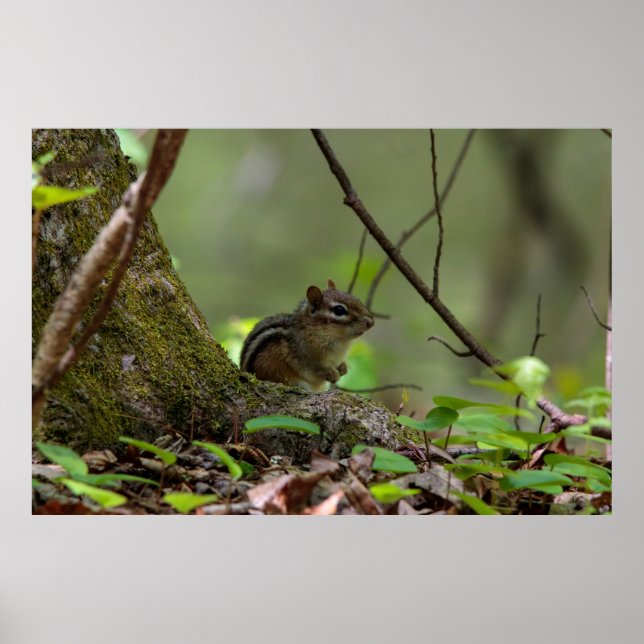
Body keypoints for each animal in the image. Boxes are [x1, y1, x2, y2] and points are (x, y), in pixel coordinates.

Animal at [240, 279, 374, 392]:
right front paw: (333, 374)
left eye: (356, 299)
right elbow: (318, 368)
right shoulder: (307, 354)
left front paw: (343, 368)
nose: (371, 322)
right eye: (339, 310)